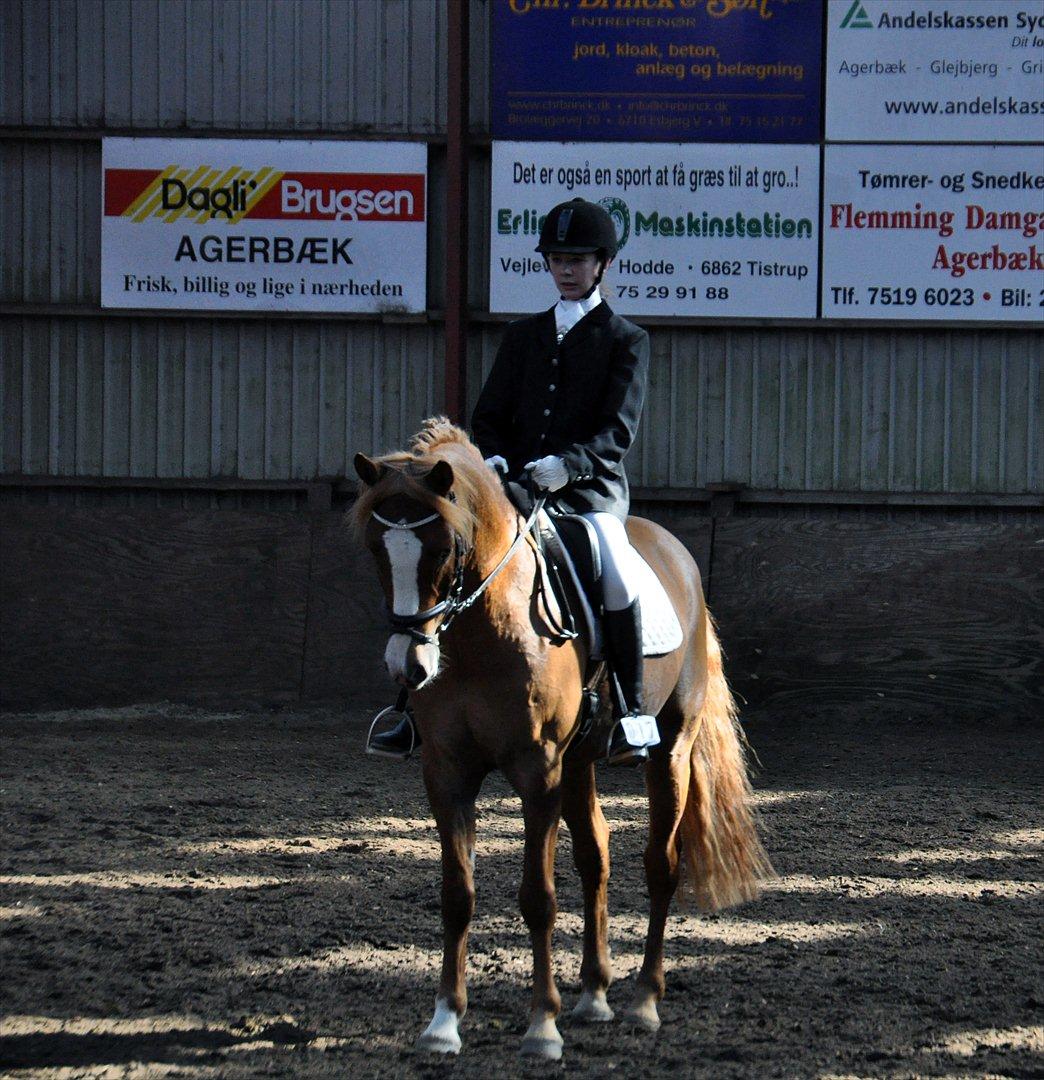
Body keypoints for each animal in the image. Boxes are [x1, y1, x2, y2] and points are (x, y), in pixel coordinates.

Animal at [354, 416, 773, 1058]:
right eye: (377, 548)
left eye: (446, 548)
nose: (410, 666)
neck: (480, 634)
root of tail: (677, 555)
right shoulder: (448, 770)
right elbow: (457, 895)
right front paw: (444, 1022)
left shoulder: (537, 769)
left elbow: (539, 897)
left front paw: (541, 1026)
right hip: (579, 761)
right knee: (595, 856)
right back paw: (594, 995)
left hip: (669, 750)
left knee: (661, 863)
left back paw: (643, 1002)